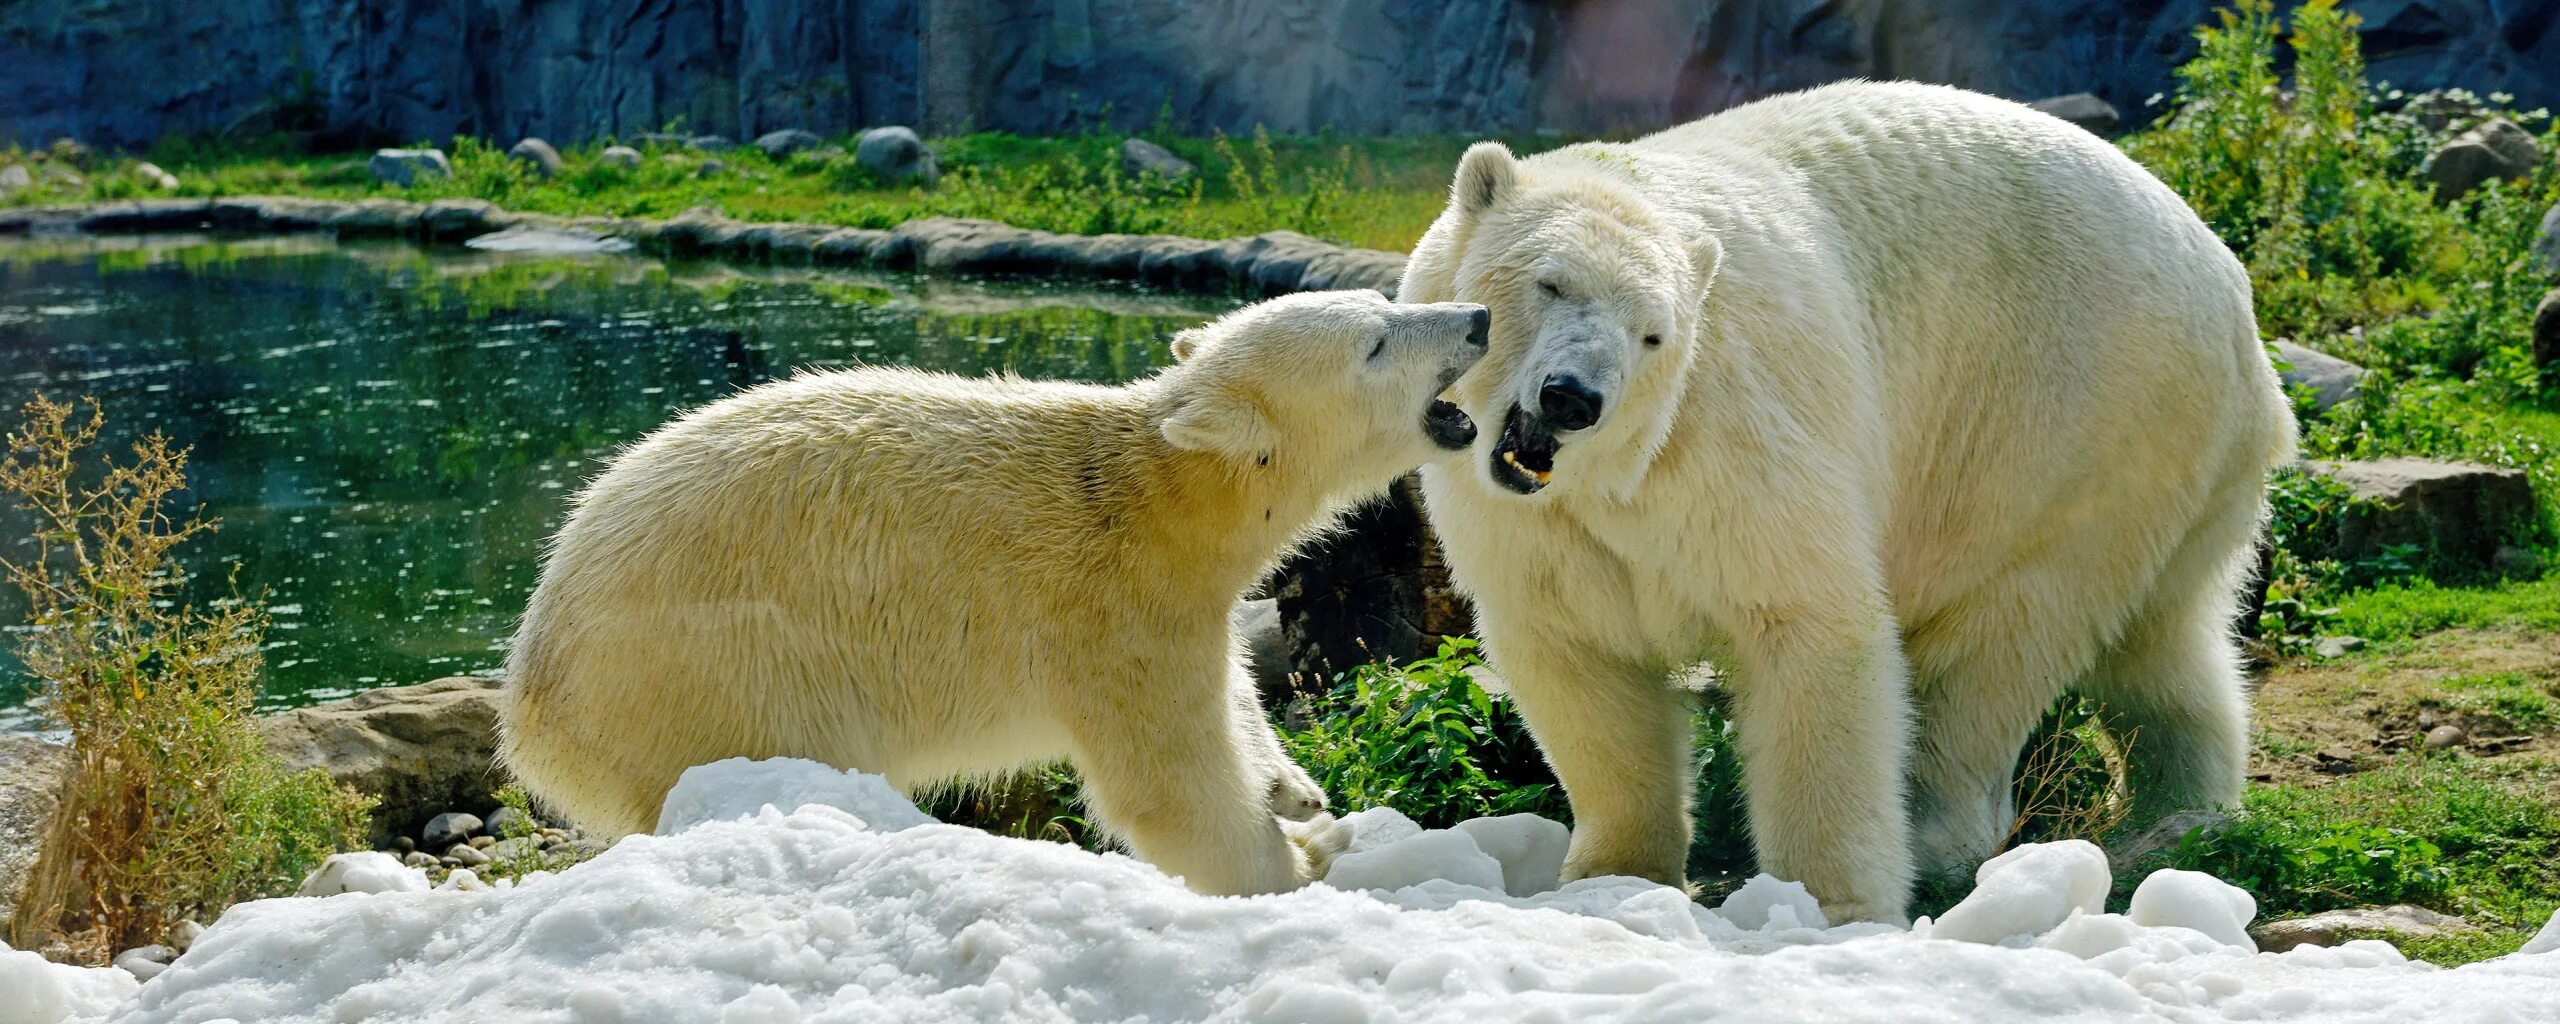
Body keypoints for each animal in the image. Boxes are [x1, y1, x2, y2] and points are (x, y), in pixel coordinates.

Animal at [501, 288, 1495, 896]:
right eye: (1376, 343)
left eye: (1384, 304)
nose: (1478, 317)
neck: (1159, 499)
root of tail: (529, 700)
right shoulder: (1112, 612)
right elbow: (1172, 786)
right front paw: (1294, 867)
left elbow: (1233, 695)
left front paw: (1297, 792)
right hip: (713, 674)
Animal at [1402, 83, 2304, 921]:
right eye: (1549, 283)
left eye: (1653, 332)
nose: (1572, 398)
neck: (1614, 479)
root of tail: (2234, 295)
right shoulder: (1525, 519)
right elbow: (1575, 652)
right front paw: (1612, 873)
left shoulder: (1730, 440)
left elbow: (1808, 623)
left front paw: (1830, 903)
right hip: (2177, 463)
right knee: (2164, 639)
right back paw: (2183, 808)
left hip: (2076, 422)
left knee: (2004, 638)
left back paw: (1950, 831)